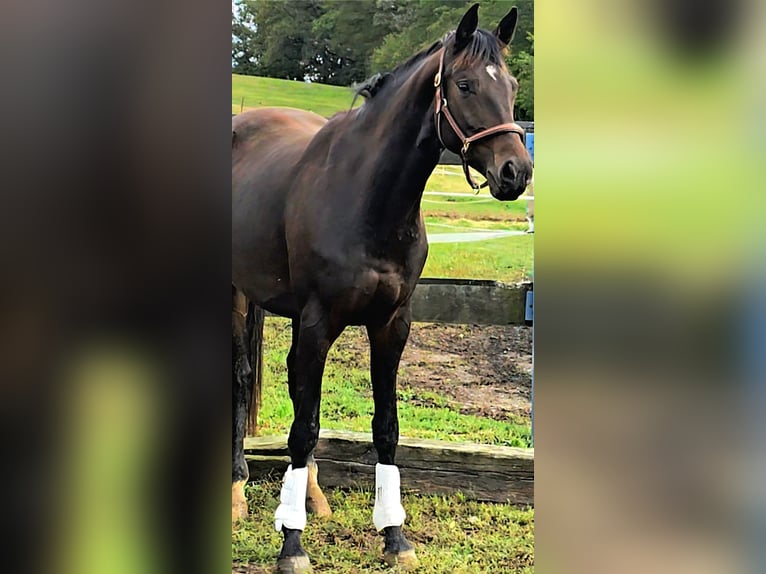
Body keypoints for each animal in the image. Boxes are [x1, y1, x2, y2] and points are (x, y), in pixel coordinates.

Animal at [234, 3, 536, 572]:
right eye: (464, 85)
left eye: (510, 84)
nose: (516, 172)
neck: (367, 198)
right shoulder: (320, 320)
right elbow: (304, 427)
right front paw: (292, 545)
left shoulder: (391, 323)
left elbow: (385, 427)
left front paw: (394, 534)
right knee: (240, 381)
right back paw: (238, 492)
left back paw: (311, 498)